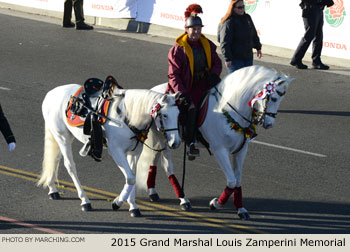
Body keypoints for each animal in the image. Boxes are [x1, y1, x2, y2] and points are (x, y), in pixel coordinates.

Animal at [37, 84, 180, 217]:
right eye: (165, 115)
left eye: (179, 114)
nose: (176, 143)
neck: (126, 117)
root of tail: (50, 94)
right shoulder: (116, 151)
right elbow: (131, 178)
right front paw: (118, 202)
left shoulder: (134, 152)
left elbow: (132, 176)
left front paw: (133, 206)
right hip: (63, 138)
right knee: (70, 166)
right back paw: (85, 201)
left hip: (62, 137)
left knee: (55, 159)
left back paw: (53, 189)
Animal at [135, 65, 294, 219]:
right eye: (273, 99)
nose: (269, 124)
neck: (229, 112)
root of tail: (155, 91)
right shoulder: (220, 151)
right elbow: (231, 181)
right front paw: (216, 203)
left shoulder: (241, 150)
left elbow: (238, 180)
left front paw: (241, 209)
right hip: (165, 138)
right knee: (167, 166)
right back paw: (183, 199)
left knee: (154, 159)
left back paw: (153, 191)